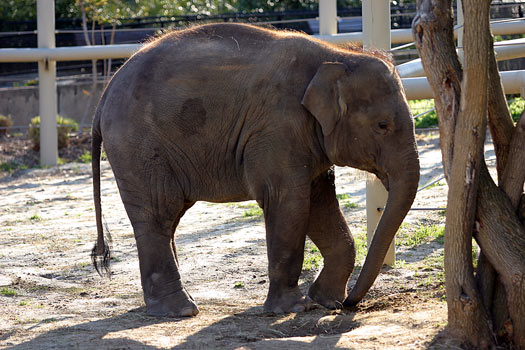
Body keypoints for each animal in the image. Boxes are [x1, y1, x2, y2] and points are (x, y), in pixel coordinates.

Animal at [90, 22, 418, 318]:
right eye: (383, 126)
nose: (351, 304)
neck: (338, 56)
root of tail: (104, 95)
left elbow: (319, 202)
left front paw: (326, 302)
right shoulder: (277, 126)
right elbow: (290, 201)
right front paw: (295, 308)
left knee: (169, 216)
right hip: (138, 146)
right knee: (159, 212)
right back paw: (180, 311)